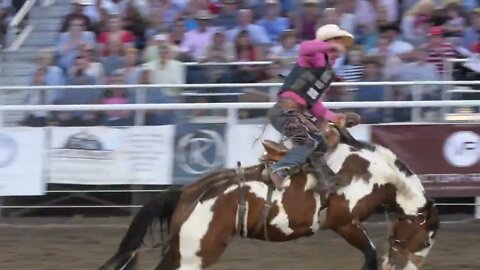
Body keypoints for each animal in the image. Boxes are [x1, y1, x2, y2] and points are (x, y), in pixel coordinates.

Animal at [99, 116, 440, 270]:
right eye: (425, 240)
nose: (411, 268)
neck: (370, 173)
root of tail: (188, 193)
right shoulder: (344, 223)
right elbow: (369, 255)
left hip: (181, 250)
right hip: (195, 254)